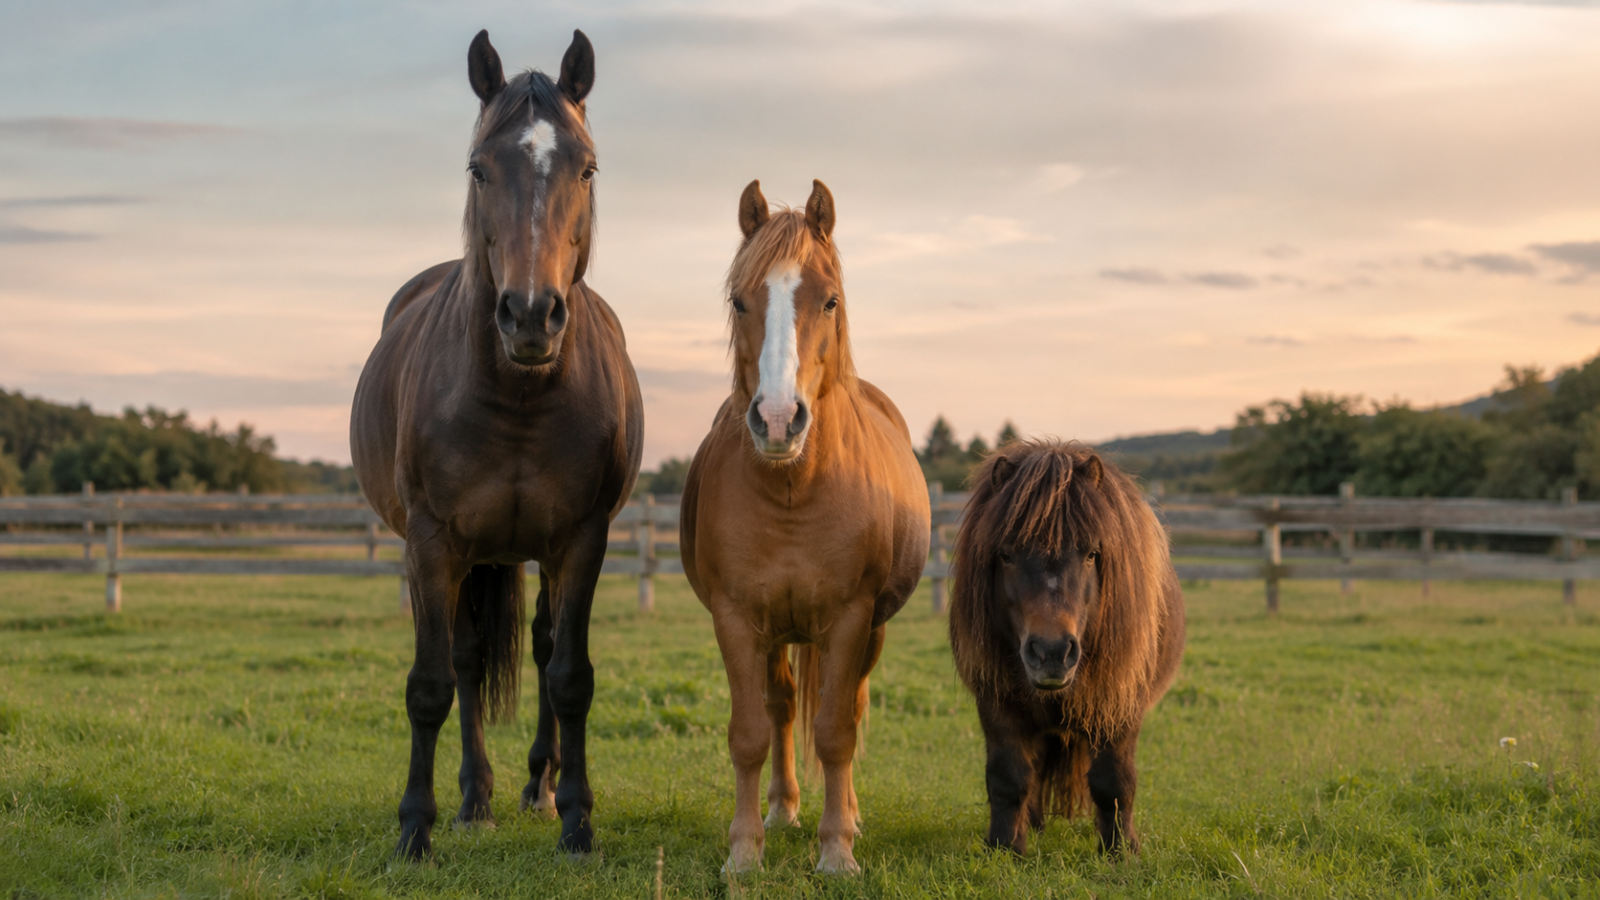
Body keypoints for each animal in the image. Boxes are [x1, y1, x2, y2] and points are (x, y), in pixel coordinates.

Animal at [350, 29, 642, 859]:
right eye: (479, 167)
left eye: (587, 166)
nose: (531, 315)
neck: (518, 398)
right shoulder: (430, 542)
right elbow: (432, 683)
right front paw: (414, 829)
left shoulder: (582, 540)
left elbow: (570, 676)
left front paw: (577, 819)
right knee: (468, 660)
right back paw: (474, 797)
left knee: (539, 650)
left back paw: (536, 788)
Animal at [680, 179, 931, 875]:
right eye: (740, 300)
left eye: (830, 298)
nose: (776, 419)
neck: (794, 491)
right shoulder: (737, 618)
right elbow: (749, 733)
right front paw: (744, 851)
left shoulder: (850, 617)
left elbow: (837, 732)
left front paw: (837, 850)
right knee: (782, 708)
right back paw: (783, 810)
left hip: (868, 631)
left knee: (846, 707)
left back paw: (847, 816)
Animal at [948, 441, 1184, 856]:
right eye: (1006, 554)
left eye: (1091, 554)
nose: (1051, 653)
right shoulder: (997, 704)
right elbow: (1008, 779)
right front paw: (1005, 848)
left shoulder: (1119, 706)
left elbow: (1114, 783)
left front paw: (1121, 852)